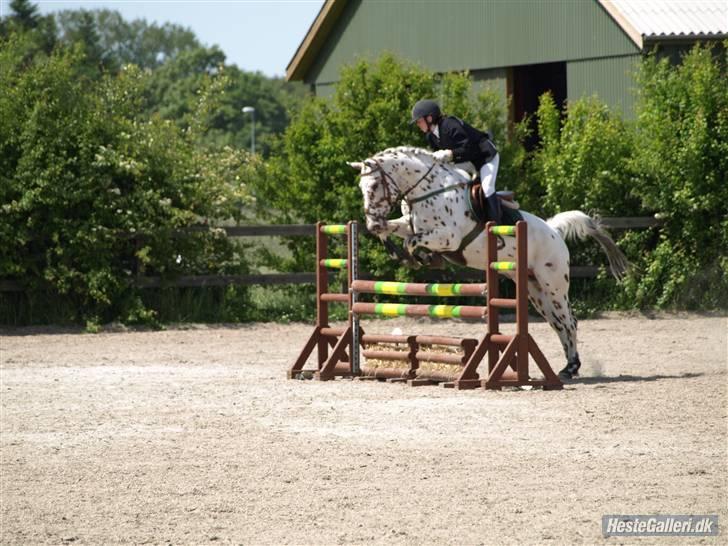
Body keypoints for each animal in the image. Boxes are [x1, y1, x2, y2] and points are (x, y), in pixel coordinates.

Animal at [346, 143, 624, 378]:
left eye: (374, 186)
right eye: (361, 189)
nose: (371, 221)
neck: (427, 192)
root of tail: (554, 230)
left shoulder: (448, 237)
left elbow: (412, 243)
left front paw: (423, 258)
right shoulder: (410, 225)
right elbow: (397, 231)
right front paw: (395, 246)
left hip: (553, 286)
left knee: (569, 322)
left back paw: (572, 367)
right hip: (535, 291)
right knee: (558, 324)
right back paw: (567, 368)